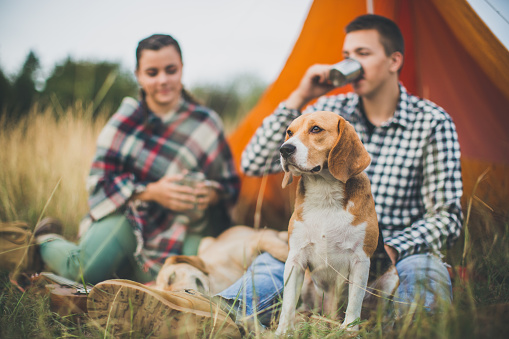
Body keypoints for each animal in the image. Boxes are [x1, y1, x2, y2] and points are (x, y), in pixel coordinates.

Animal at [274, 111, 396, 334]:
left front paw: (349, 330)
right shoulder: (295, 259)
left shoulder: (360, 260)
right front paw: (283, 332)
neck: (325, 193)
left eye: (316, 129)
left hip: (391, 279)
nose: (284, 149)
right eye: (289, 132)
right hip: (308, 283)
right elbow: (287, 303)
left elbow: (354, 301)